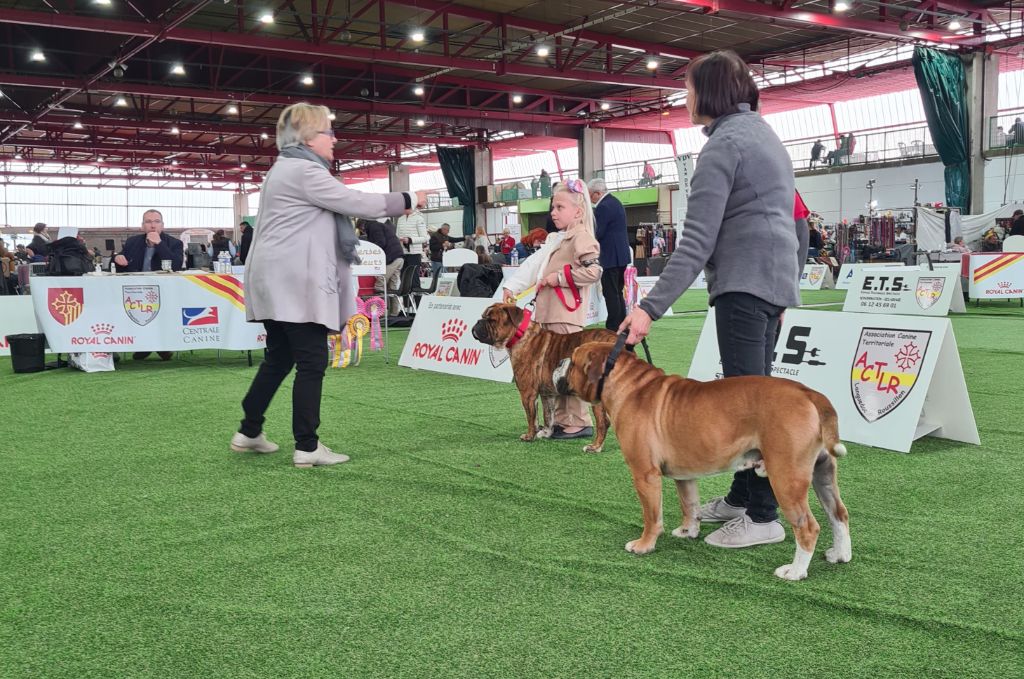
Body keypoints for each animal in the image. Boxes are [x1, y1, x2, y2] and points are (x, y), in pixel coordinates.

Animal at [473, 303, 614, 450]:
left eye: (492, 320)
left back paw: (595, 446)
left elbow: (531, 417)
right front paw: (546, 432)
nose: (478, 322)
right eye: (483, 316)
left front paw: (529, 436)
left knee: (603, 421)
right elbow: (548, 415)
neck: (520, 335)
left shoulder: (527, 393)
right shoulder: (547, 394)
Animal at [557, 342, 851, 581]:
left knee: (808, 527)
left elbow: (652, 516)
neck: (627, 384)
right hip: (822, 474)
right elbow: (690, 505)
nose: (560, 362)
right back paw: (839, 554)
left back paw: (795, 571)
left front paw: (644, 544)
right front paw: (688, 531)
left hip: (786, 477)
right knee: (838, 514)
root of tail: (809, 393)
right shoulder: (685, 476)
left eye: (573, 359)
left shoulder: (644, 474)